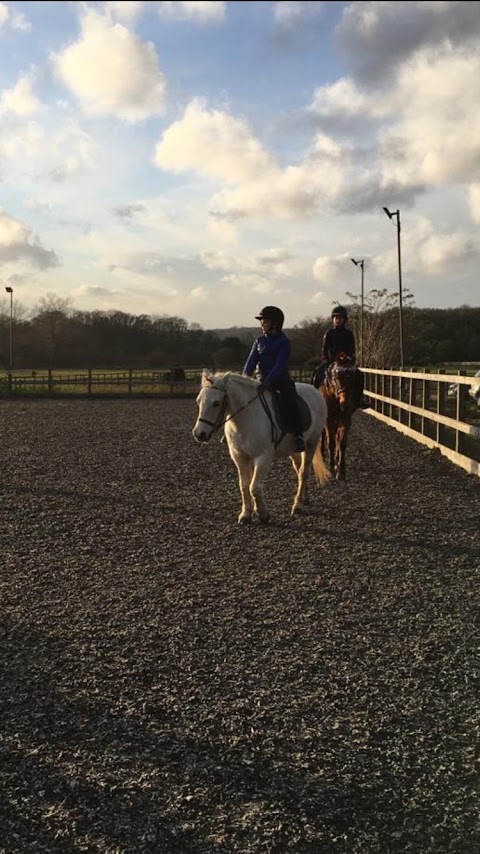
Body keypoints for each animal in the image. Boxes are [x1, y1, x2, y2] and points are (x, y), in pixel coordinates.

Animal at [191, 372, 330, 524]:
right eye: (198, 401)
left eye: (216, 403)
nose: (199, 434)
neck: (245, 418)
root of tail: (314, 390)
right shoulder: (239, 457)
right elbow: (244, 485)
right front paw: (246, 514)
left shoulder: (263, 457)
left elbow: (254, 487)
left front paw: (262, 514)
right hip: (293, 450)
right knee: (299, 469)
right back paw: (304, 498)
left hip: (311, 443)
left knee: (304, 471)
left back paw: (297, 505)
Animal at [318, 354, 356, 482]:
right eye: (337, 378)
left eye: (353, 379)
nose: (346, 403)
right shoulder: (328, 420)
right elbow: (331, 442)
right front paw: (331, 467)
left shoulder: (346, 419)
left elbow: (342, 443)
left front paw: (341, 470)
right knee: (324, 436)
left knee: (337, 438)